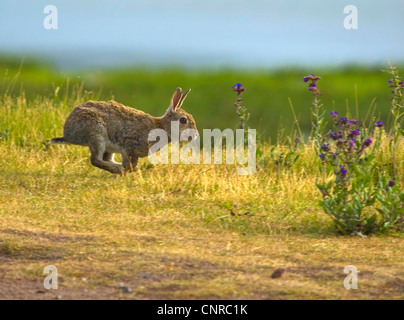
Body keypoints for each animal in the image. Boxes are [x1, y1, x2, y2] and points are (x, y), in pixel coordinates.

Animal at [49, 86, 198, 174]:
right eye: (183, 120)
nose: (196, 135)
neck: (162, 127)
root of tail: (68, 133)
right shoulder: (128, 144)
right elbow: (129, 160)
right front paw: (129, 171)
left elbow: (133, 162)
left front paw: (132, 171)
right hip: (97, 133)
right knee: (95, 160)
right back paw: (118, 169)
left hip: (107, 145)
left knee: (105, 158)